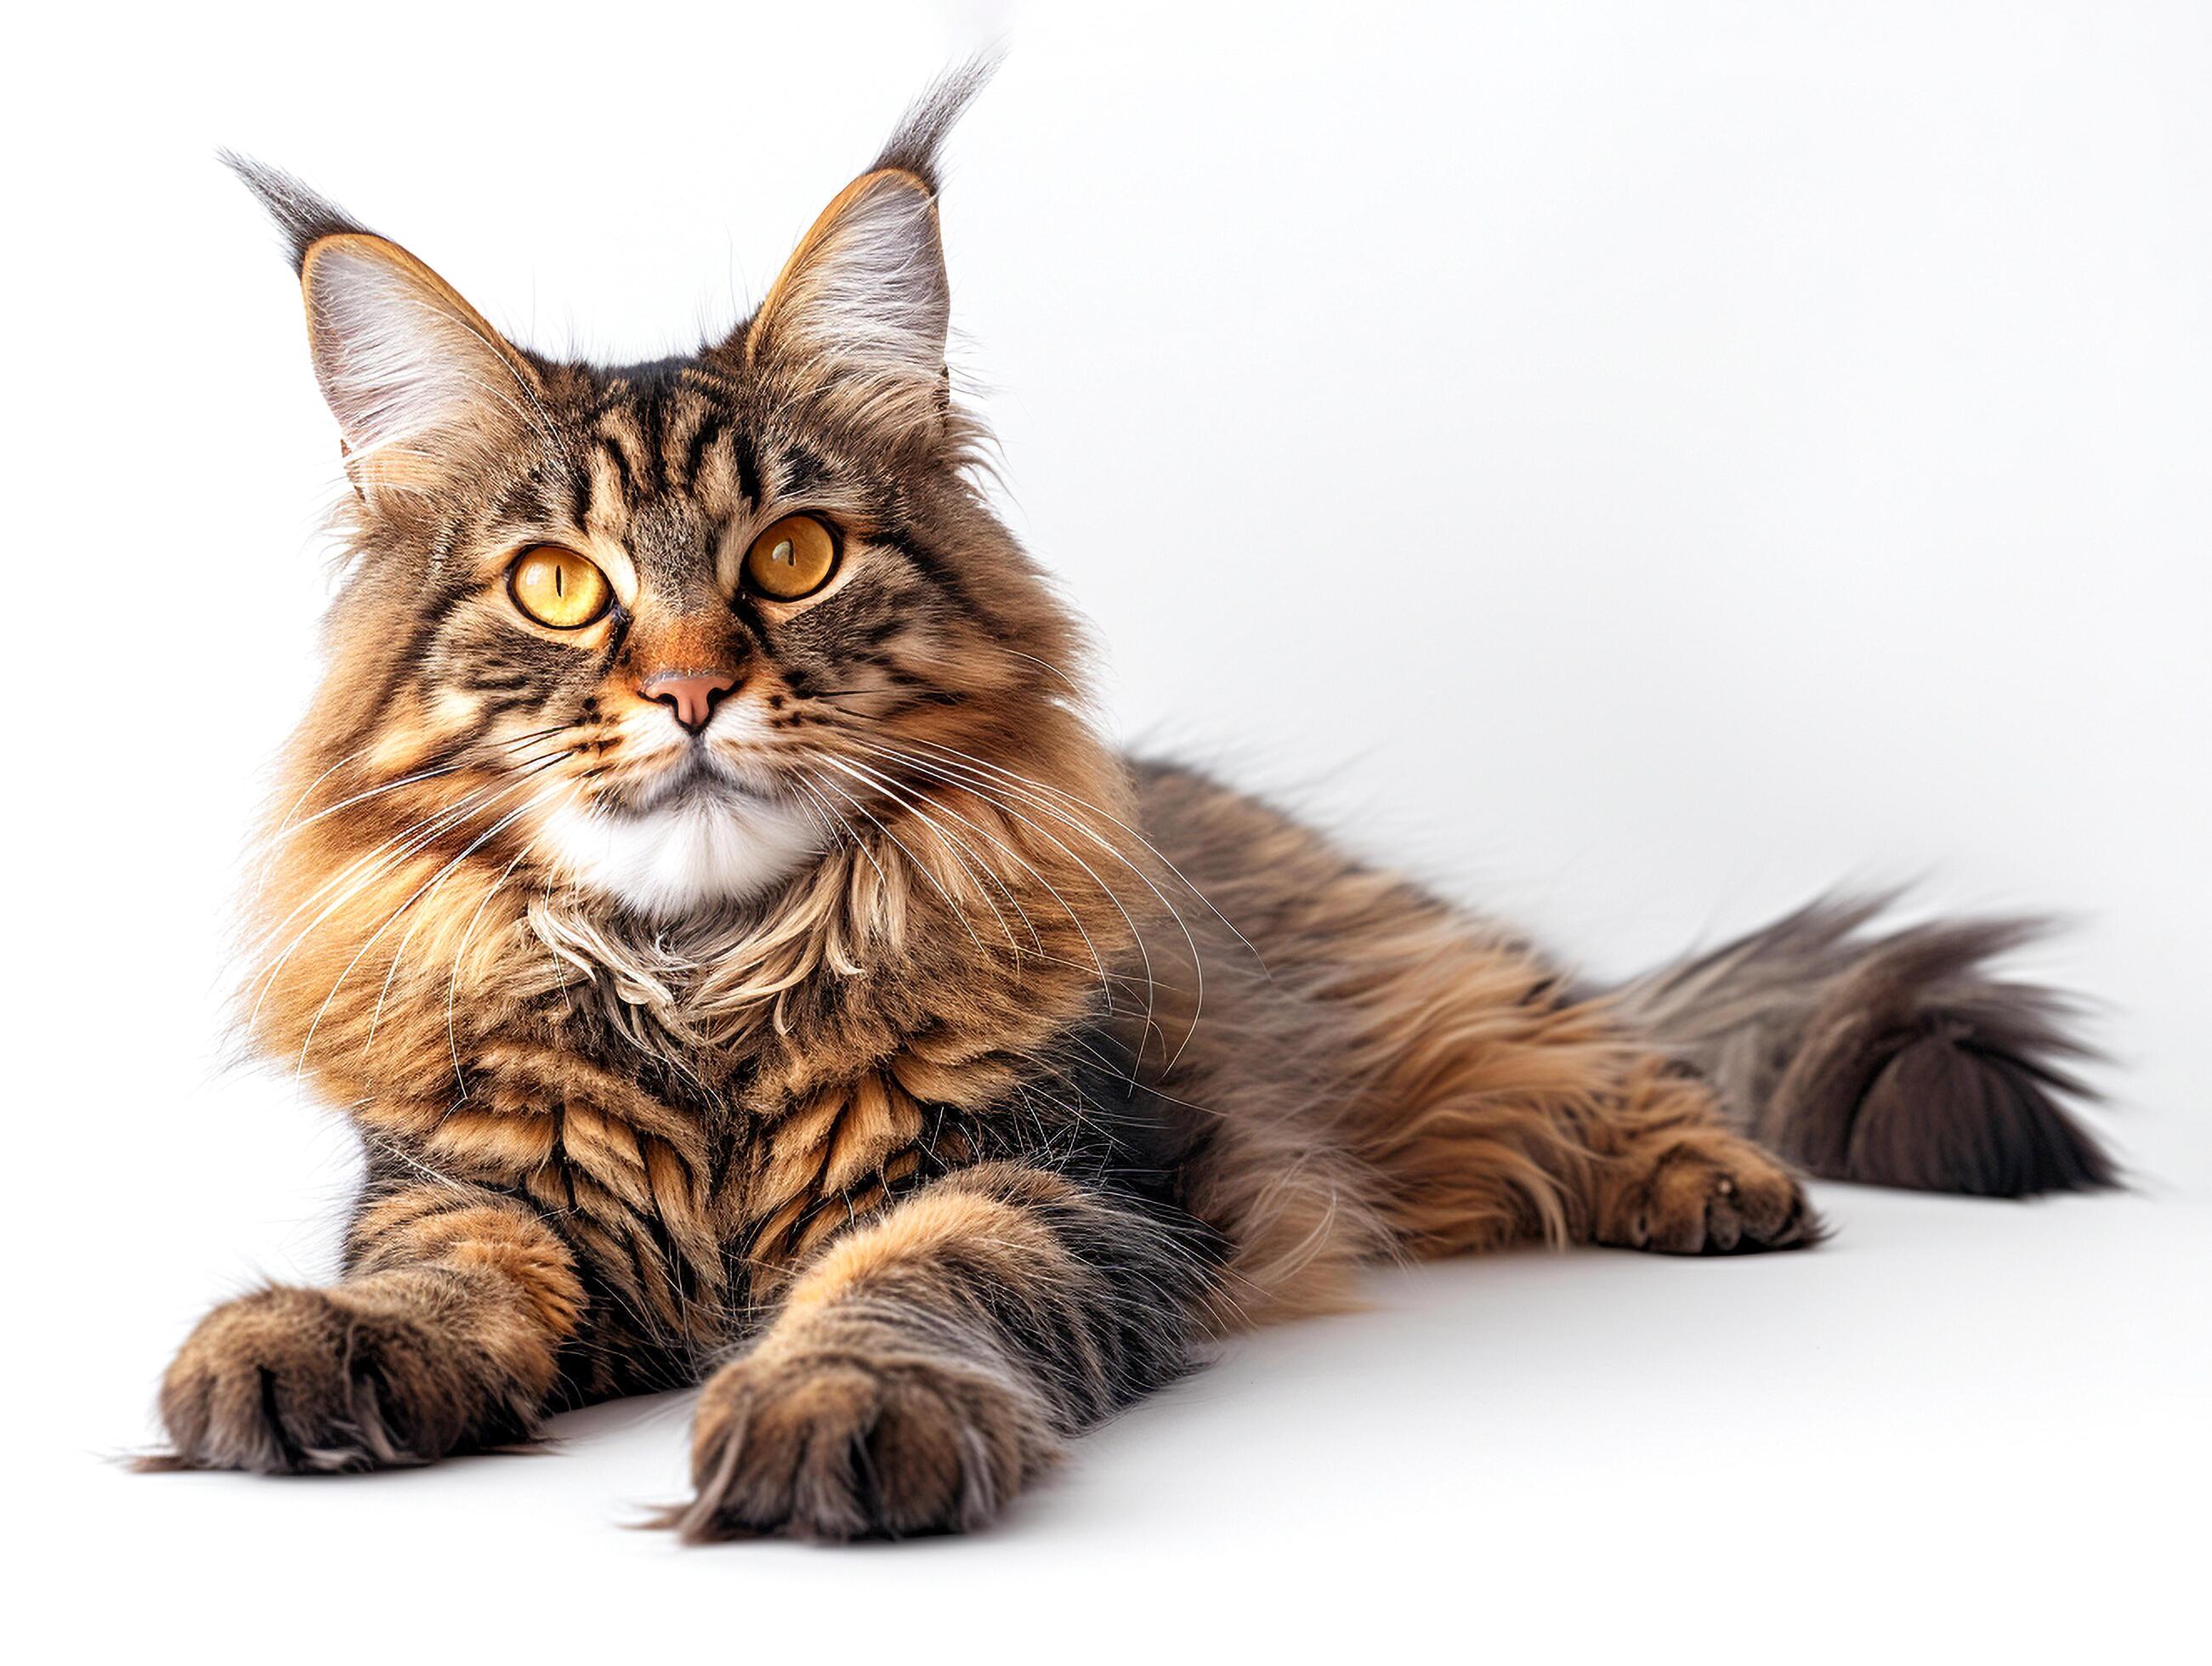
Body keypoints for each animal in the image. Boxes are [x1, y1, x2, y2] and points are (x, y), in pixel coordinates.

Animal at [156, 65, 2106, 1531]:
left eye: (792, 558)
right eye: (559, 587)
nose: (693, 688)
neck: (709, 980)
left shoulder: (1056, 1181)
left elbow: (911, 1284)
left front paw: (831, 1410)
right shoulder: (466, 1184)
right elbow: (443, 1269)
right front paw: (312, 1348)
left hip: (1448, 1005)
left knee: (1612, 1052)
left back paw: (1717, 1183)